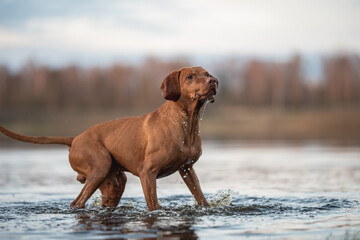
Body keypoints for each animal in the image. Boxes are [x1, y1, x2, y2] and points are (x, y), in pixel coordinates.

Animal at [0, 66, 218, 211]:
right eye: (189, 76)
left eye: (207, 74)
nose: (214, 81)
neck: (186, 122)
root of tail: (75, 139)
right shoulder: (147, 172)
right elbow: (154, 206)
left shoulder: (187, 169)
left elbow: (202, 199)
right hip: (100, 166)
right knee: (76, 202)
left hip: (114, 183)